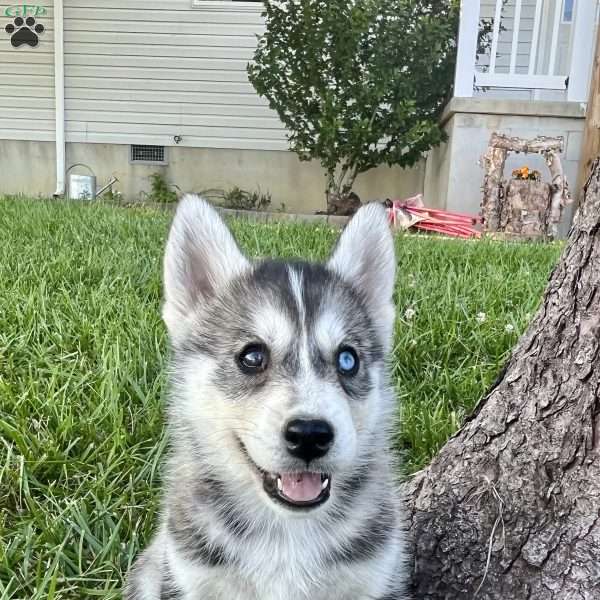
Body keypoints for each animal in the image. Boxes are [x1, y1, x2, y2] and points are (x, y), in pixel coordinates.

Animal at [126, 195, 408, 596]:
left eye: (347, 359)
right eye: (252, 357)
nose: (310, 434)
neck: (287, 535)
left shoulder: (376, 577)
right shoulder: (188, 576)